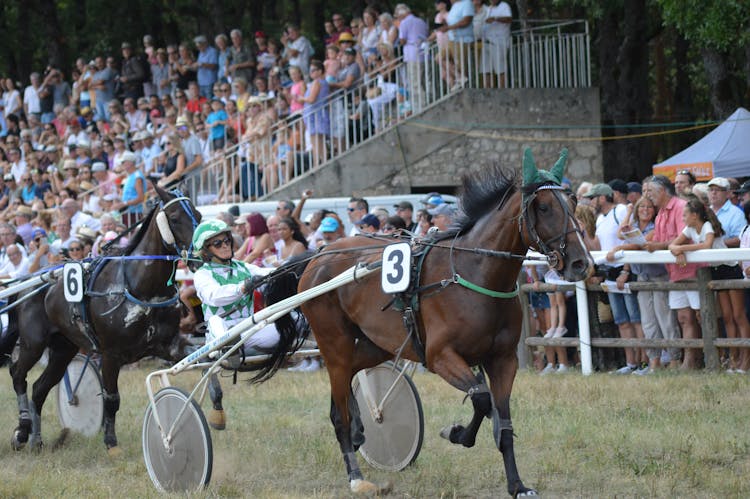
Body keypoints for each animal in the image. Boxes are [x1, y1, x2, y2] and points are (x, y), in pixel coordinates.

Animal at [3, 186, 203, 456]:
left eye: (198, 214)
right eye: (174, 217)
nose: (201, 255)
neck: (140, 288)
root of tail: (29, 282)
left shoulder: (169, 345)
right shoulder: (111, 354)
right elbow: (111, 398)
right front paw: (111, 442)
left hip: (63, 348)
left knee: (39, 388)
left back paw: (36, 439)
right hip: (33, 344)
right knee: (17, 374)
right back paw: (22, 431)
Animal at [264, 149, 592, 496]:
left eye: (573, 203)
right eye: (543, 207)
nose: (580, 263)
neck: (475, 272)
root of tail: (319, 254)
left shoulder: (503, 360)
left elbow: (502, 423)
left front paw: (517, 485)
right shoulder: (440, 356)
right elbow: (481, 398)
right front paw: (457, 433)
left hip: (377, 343)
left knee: (349, 380)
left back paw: (359, 430)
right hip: (334, 342)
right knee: (338, 407)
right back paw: (355, 476)